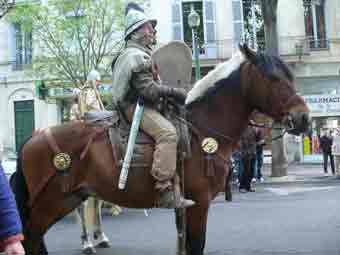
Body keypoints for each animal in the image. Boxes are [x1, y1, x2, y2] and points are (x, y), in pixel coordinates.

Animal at [10, 44, 310, 254]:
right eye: (273, 78)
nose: (304, 118)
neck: (203, 129)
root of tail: (33, 138)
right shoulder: (199, 202)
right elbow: (196, 245)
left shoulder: (184, 207)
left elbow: (184, 245)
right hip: (50, 203)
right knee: (31, 238)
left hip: (71, 198)